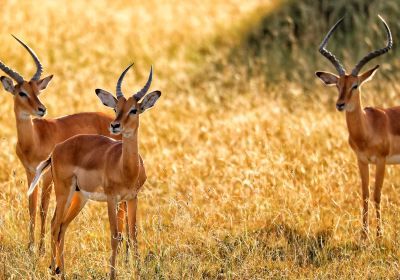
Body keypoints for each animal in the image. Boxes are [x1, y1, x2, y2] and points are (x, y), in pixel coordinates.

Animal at [0, 35, 128, 254]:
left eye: (37, 91)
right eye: (22, 92)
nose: (42, 109)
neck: (35, 139)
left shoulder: (47, 176)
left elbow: (43, 209)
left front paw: (40, 249)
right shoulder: (30, 172)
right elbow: (31, 207)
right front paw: (30, 247)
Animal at [28, 62, 160, 278]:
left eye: (134, 109)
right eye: (116, 108)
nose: (115, 125)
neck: (126, 168)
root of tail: (57, 149)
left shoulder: (132, 198)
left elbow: (133, 236)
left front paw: (138, 273)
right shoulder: (112, 198)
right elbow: (115, 235)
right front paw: (113, 275)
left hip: (80, 197)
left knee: (63, 226)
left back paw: (62, 271)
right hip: (64, 192)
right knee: (55, 224)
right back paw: (53, 270)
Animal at [316, 15, 394, 238]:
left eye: (355, 85)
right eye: (337, 85)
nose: (340, 104)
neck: (368, 129)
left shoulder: (381, 161)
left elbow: (377, 194)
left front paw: (379, 235)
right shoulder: (362, 161)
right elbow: (365, 194)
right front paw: (364, 235)